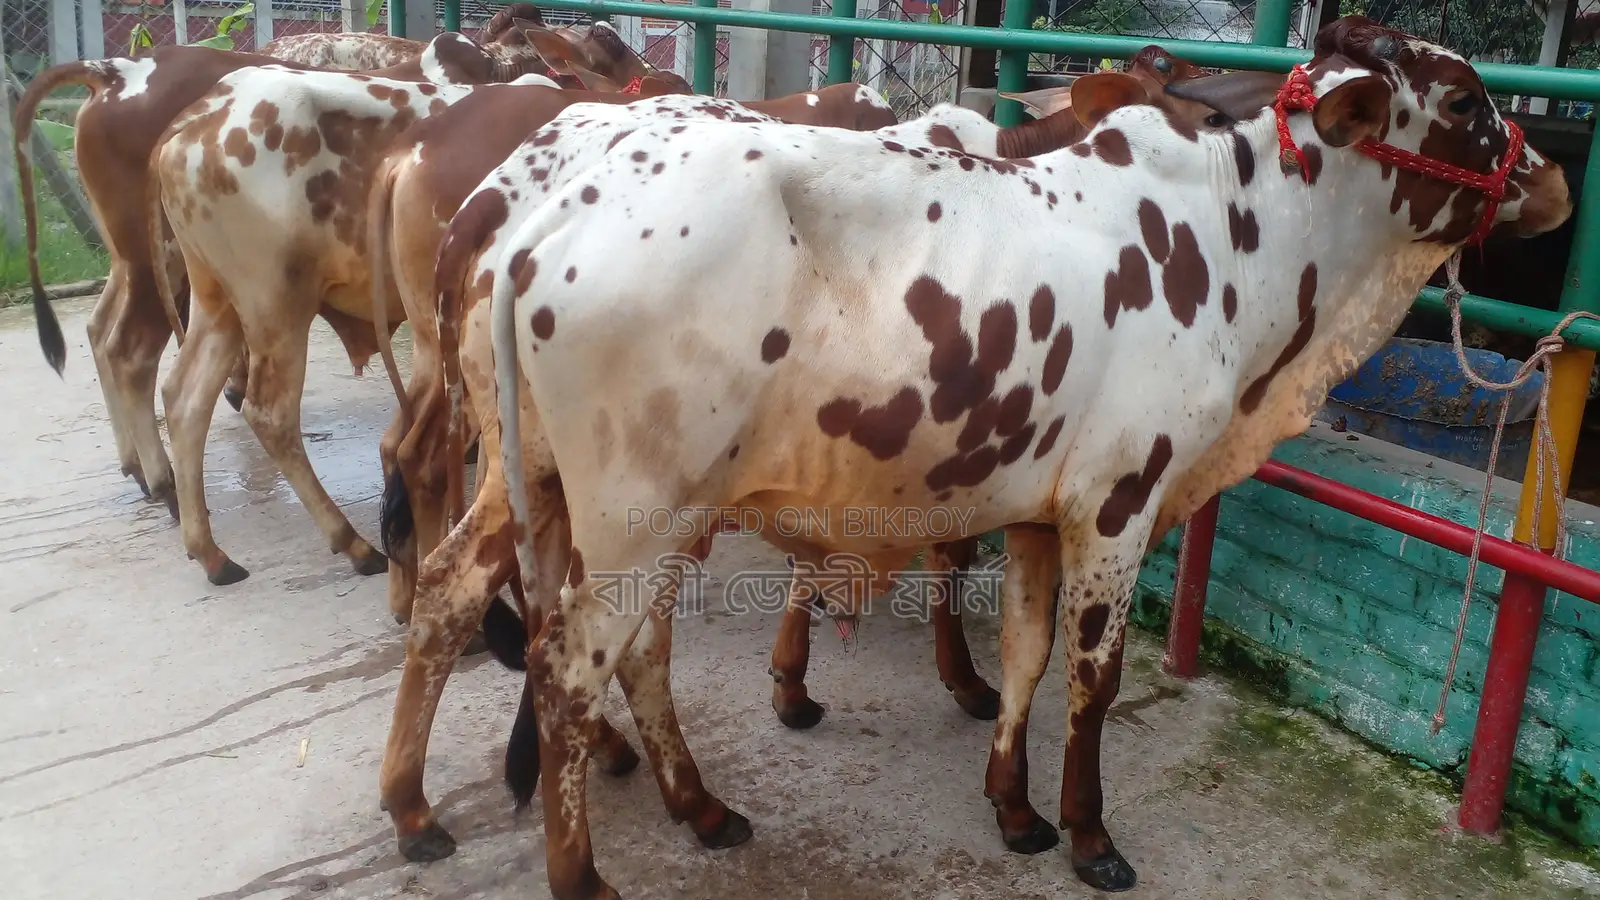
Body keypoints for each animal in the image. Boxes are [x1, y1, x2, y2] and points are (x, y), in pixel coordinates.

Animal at [375, 48, 1241, 866]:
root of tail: (491, 190)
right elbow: (947, 552)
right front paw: (956, 679)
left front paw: (794, 675)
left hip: (521, 452)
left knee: (462, 554)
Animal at [466, 16, 1567, 898]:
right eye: (1463, 98)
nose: (1548, 175)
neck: (1240, 235)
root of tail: (546, 216)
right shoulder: (1120, 502)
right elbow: (1093, 676)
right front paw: (1089, 835)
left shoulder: (1042, 512)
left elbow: (1025, 657)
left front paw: (1015, 809)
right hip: (636, 520)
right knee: (568, 672)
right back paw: (585, 873)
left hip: (592, 509)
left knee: (629, 657)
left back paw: (699, 806)